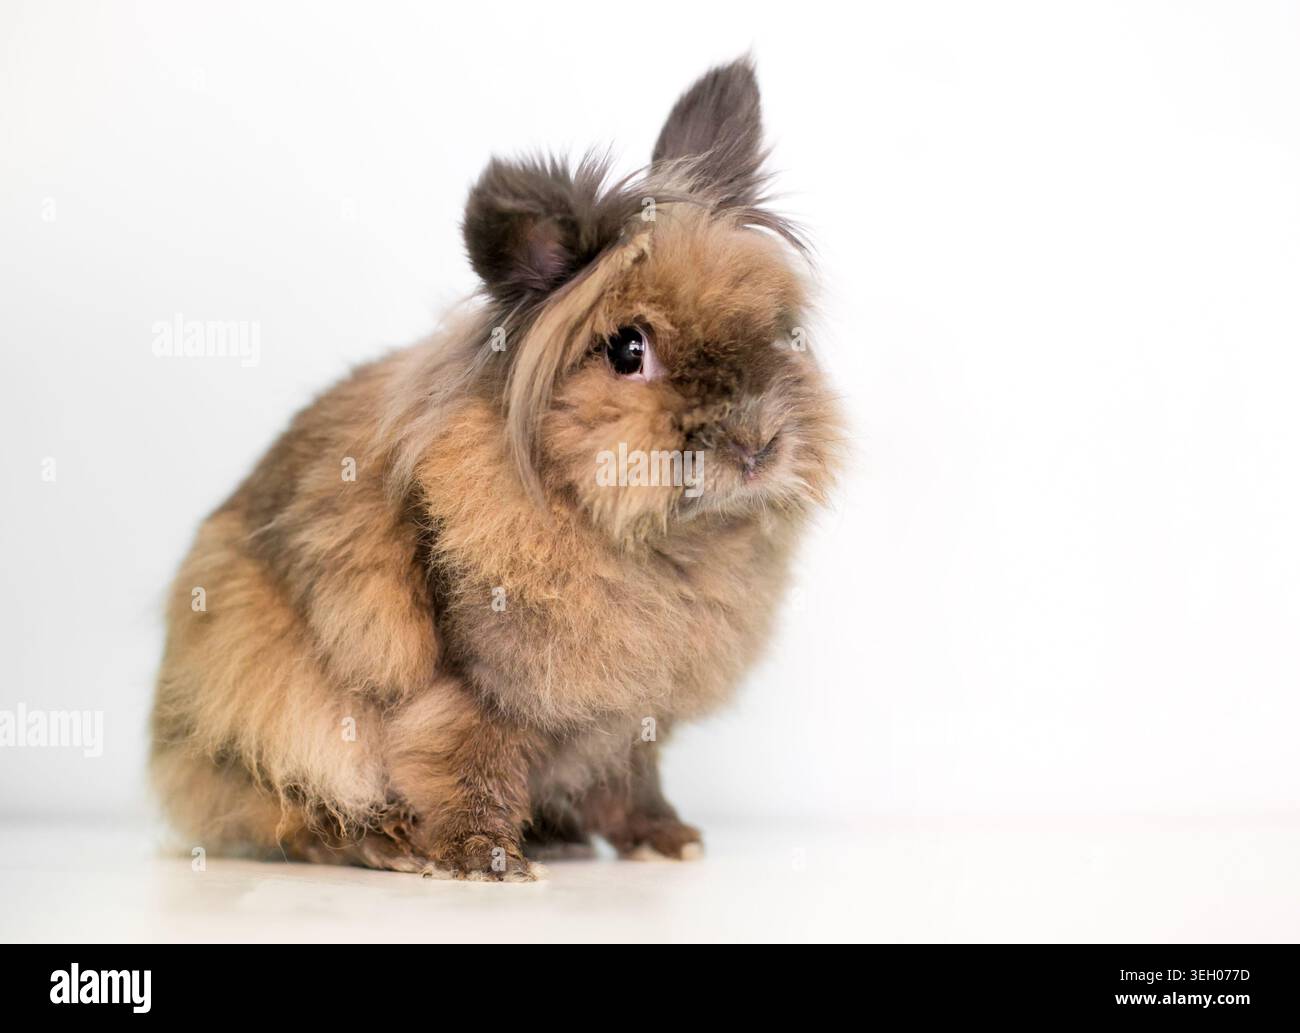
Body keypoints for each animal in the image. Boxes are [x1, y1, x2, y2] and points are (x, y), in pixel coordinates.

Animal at [150, 56, 843, 881]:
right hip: (262, 705)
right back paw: (386, 843)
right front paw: (486, 860)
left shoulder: (627, 718)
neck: (656, 544)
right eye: (628, 349)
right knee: (291, 809)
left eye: (779, 330)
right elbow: (460, 759)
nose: (756, 444)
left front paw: (668, 840)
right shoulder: (473, 691)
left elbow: (631, 781)